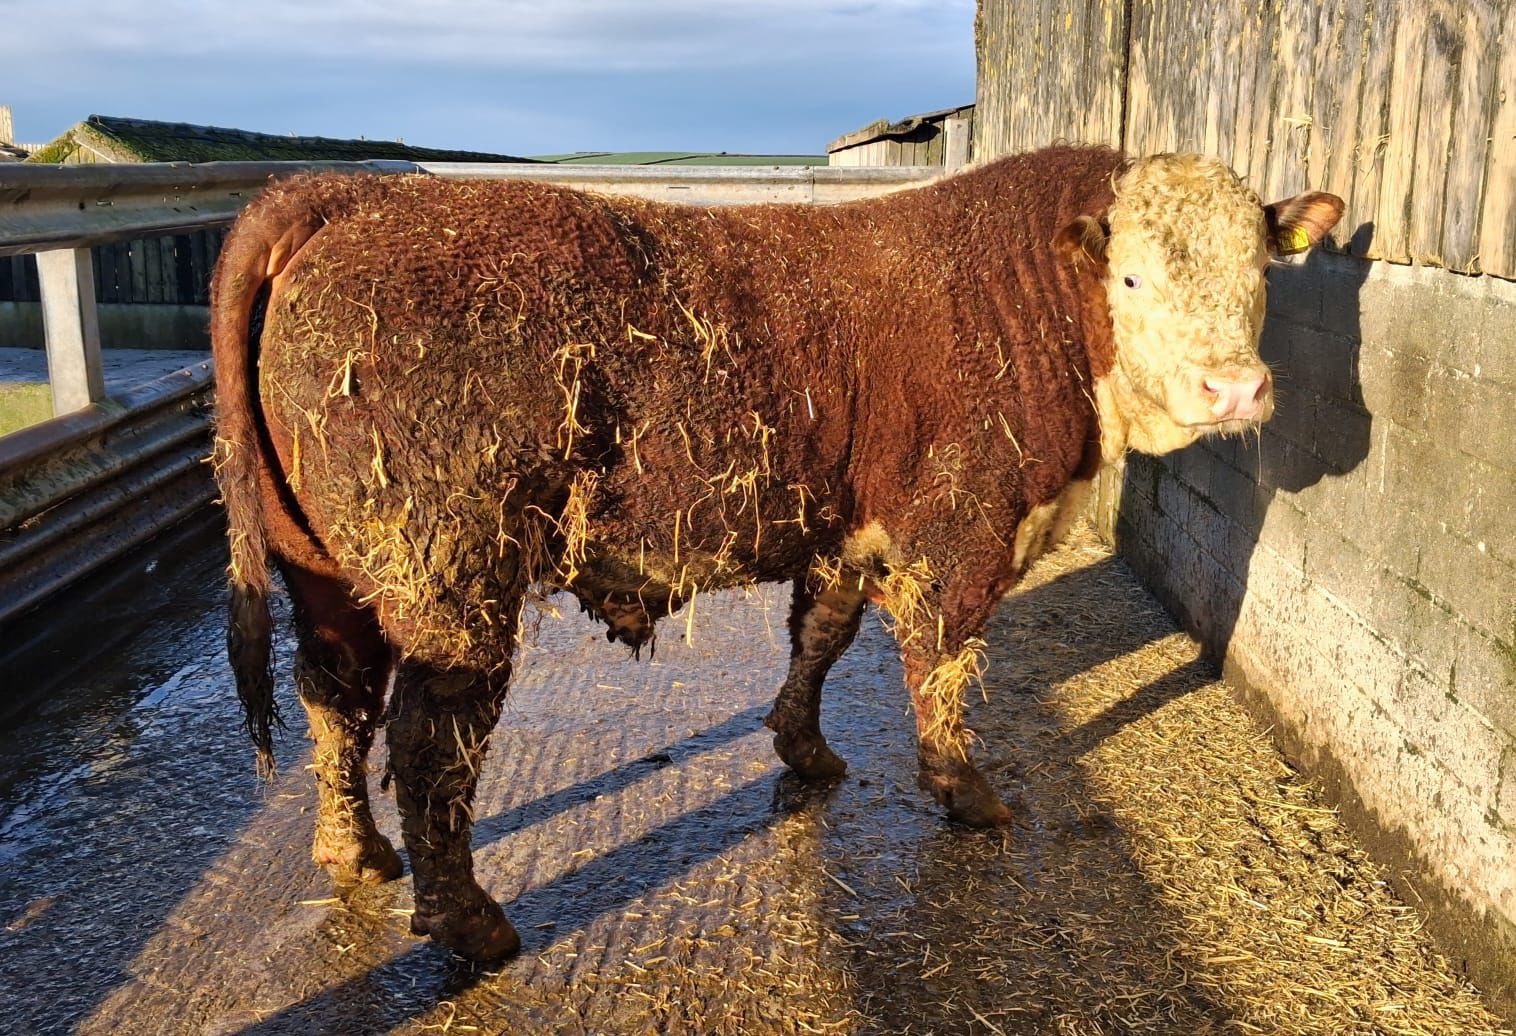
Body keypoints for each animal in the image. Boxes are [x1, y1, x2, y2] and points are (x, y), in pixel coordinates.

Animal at [210, 146, 1343, 962]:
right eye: (1133, 274)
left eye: (1258, 273)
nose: (1235, 389)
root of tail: (346, 195)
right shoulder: (964, 530)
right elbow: (941, 664)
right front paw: (965, 792)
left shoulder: (846, 530)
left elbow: (822, 637)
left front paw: (804, 749)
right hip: (451, 572)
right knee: (430, 734)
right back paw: (472, 924)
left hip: (325, 571)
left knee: (334, 695)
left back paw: (354, 850)